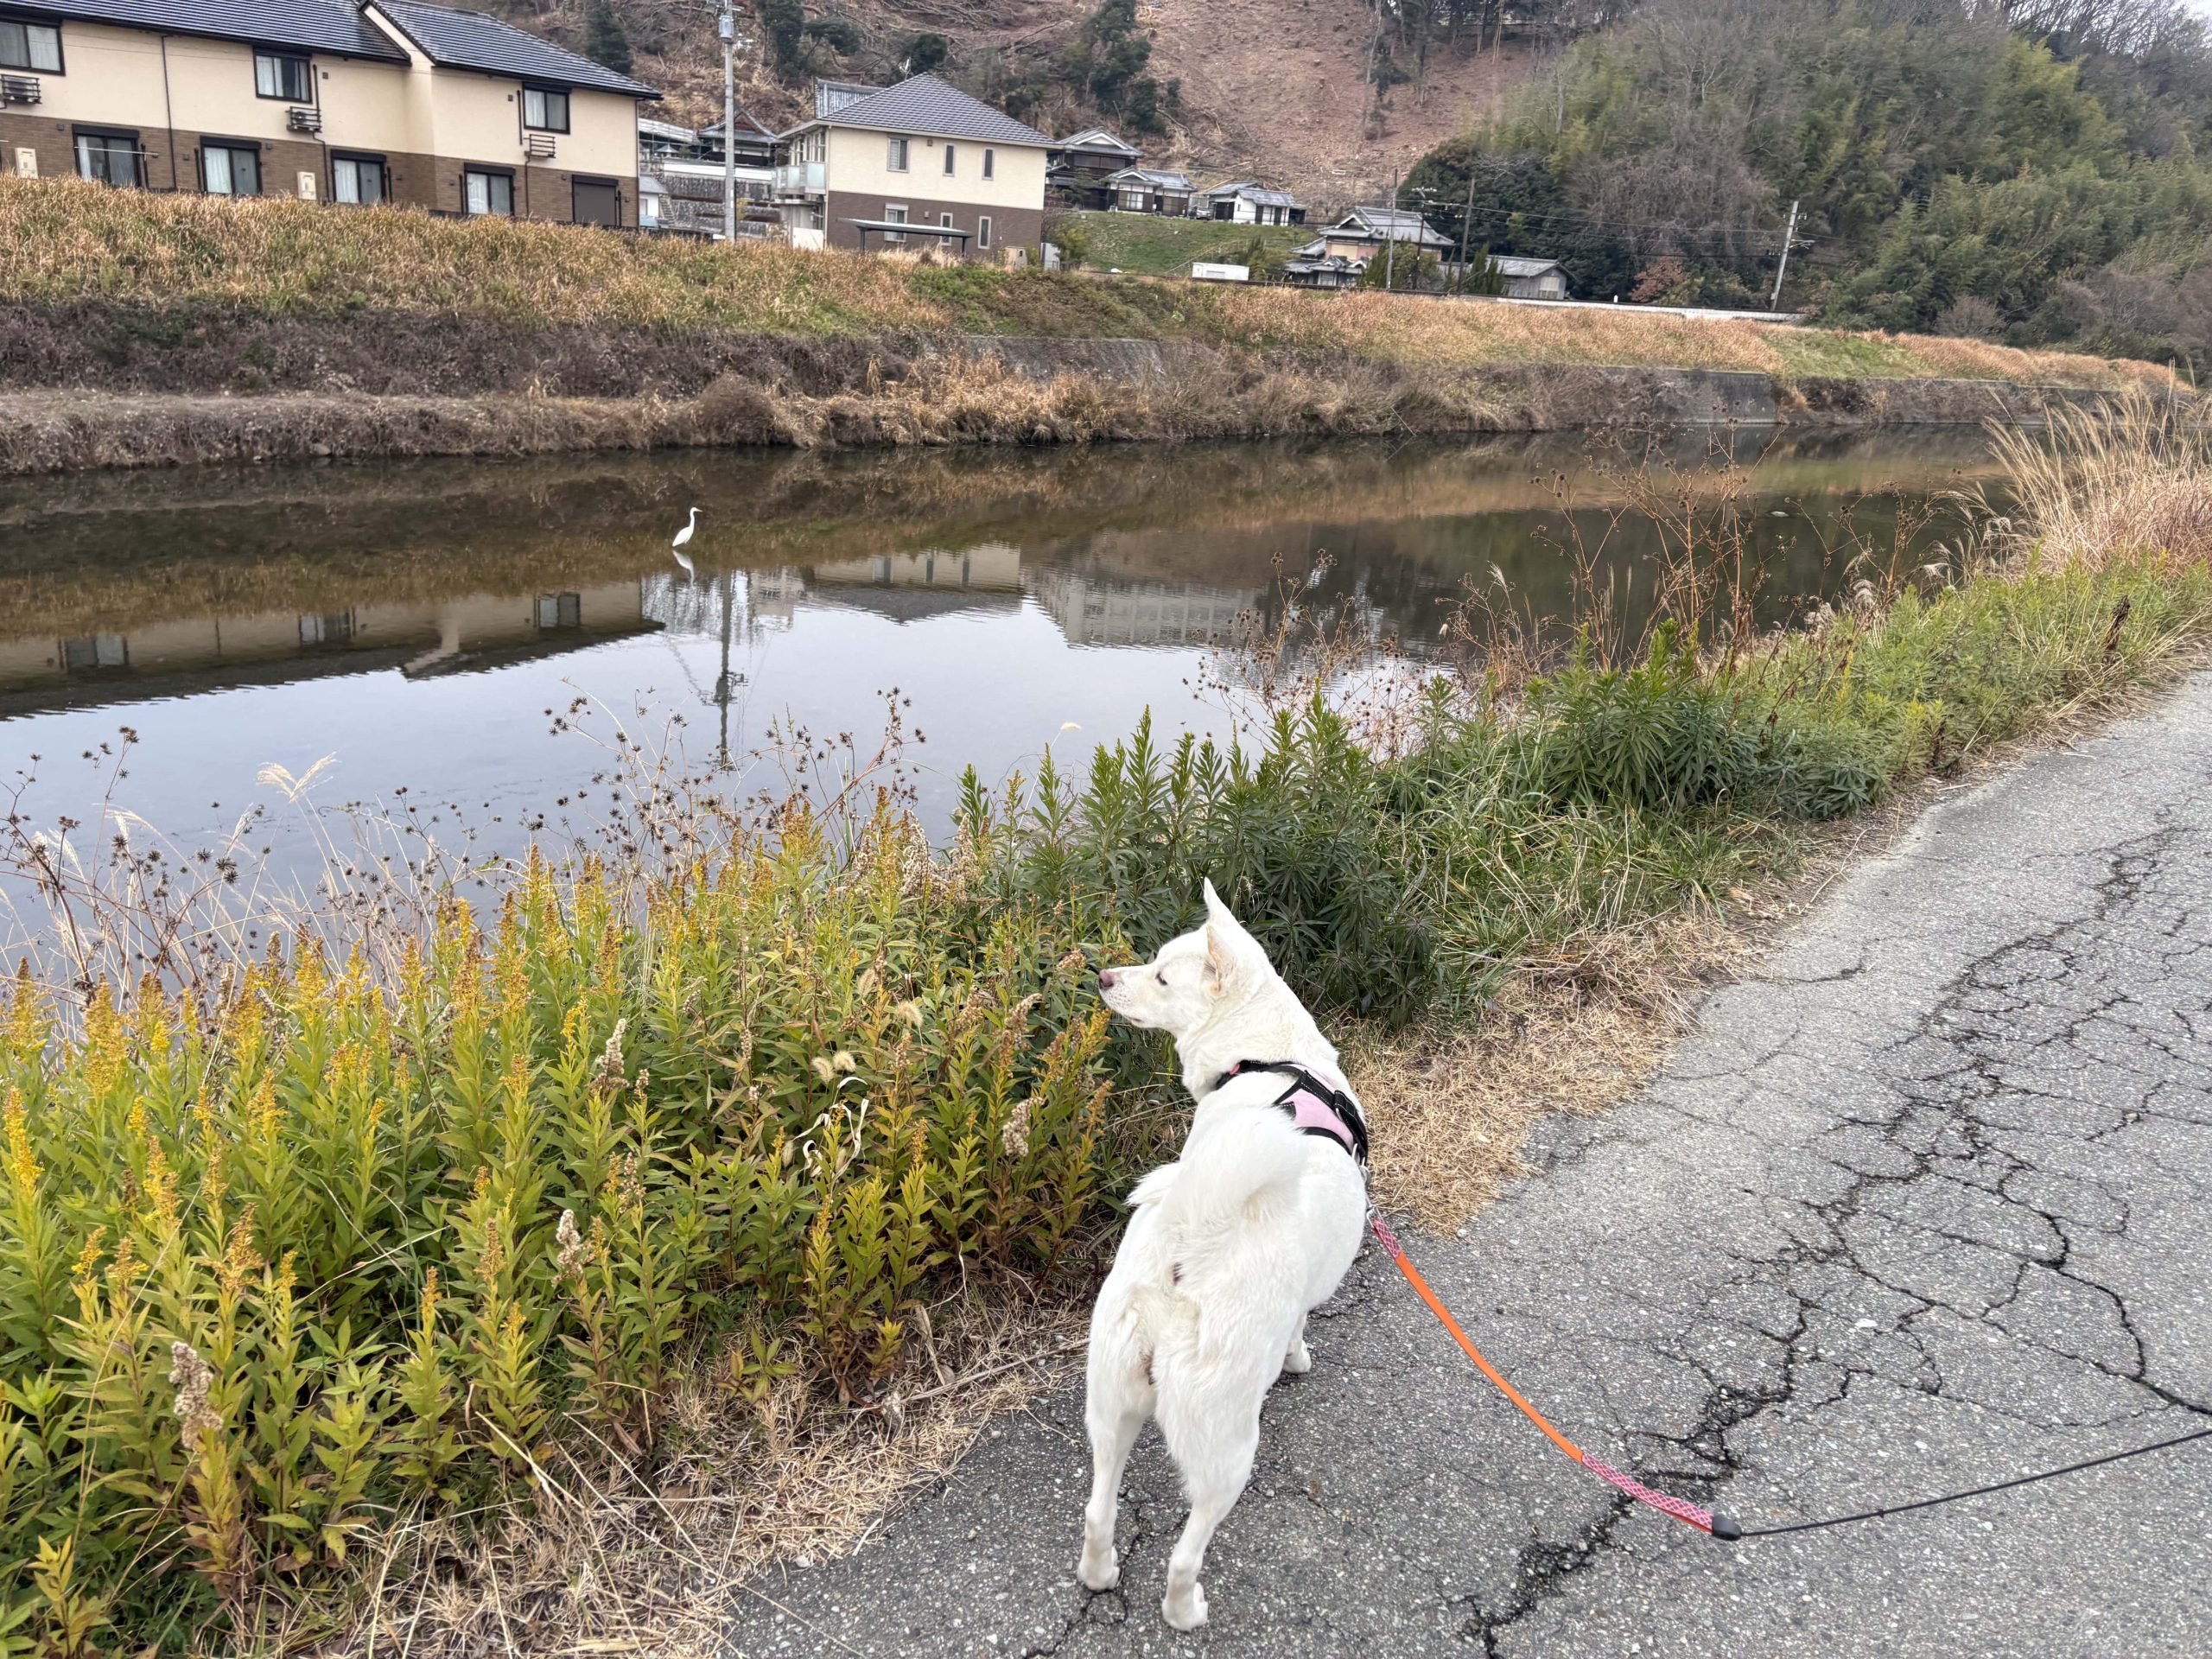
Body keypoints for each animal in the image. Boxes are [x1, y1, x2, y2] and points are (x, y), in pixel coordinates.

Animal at [1080, 880, 1370, 1630]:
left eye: (1159, 974)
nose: (1103, 976)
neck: (1269, 1057)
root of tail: (1194, 1242)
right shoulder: (1306, 1297)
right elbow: (1301, 1328)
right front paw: (1299, 1359)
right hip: (1228, 1446)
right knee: (1185, 1551)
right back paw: (1186, 1611)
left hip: (1111, 1404)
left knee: (1097, 1509)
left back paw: (1099, 1574)